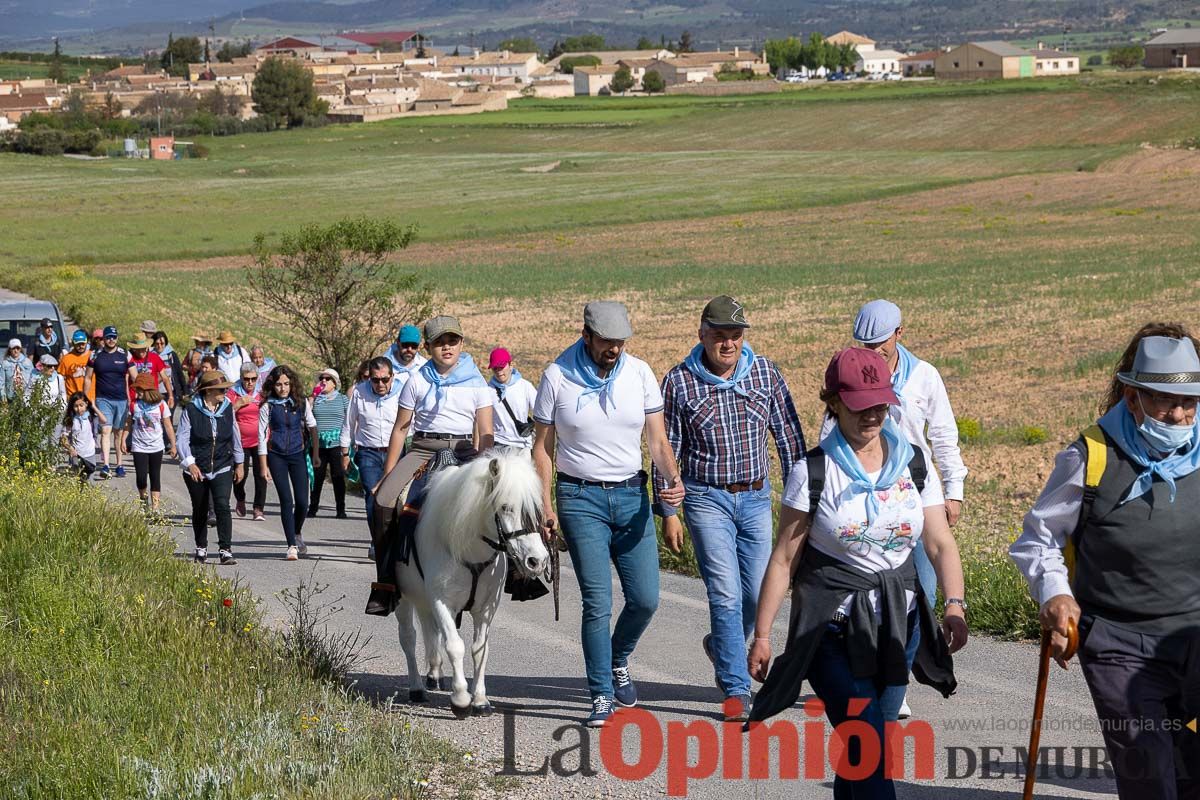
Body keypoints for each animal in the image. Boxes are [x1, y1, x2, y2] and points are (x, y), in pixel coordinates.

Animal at [393, 450, 549, 719]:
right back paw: (417, 688)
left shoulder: (486, 608)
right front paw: (460, 699)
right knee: (409, 637)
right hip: (402, 596)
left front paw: (480, 700)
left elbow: (479, 650)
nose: (537, 561)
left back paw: (435, 674)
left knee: (430, 631)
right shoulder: (441, 601)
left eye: (535, 509)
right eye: (505, 507)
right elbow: (455, 646)